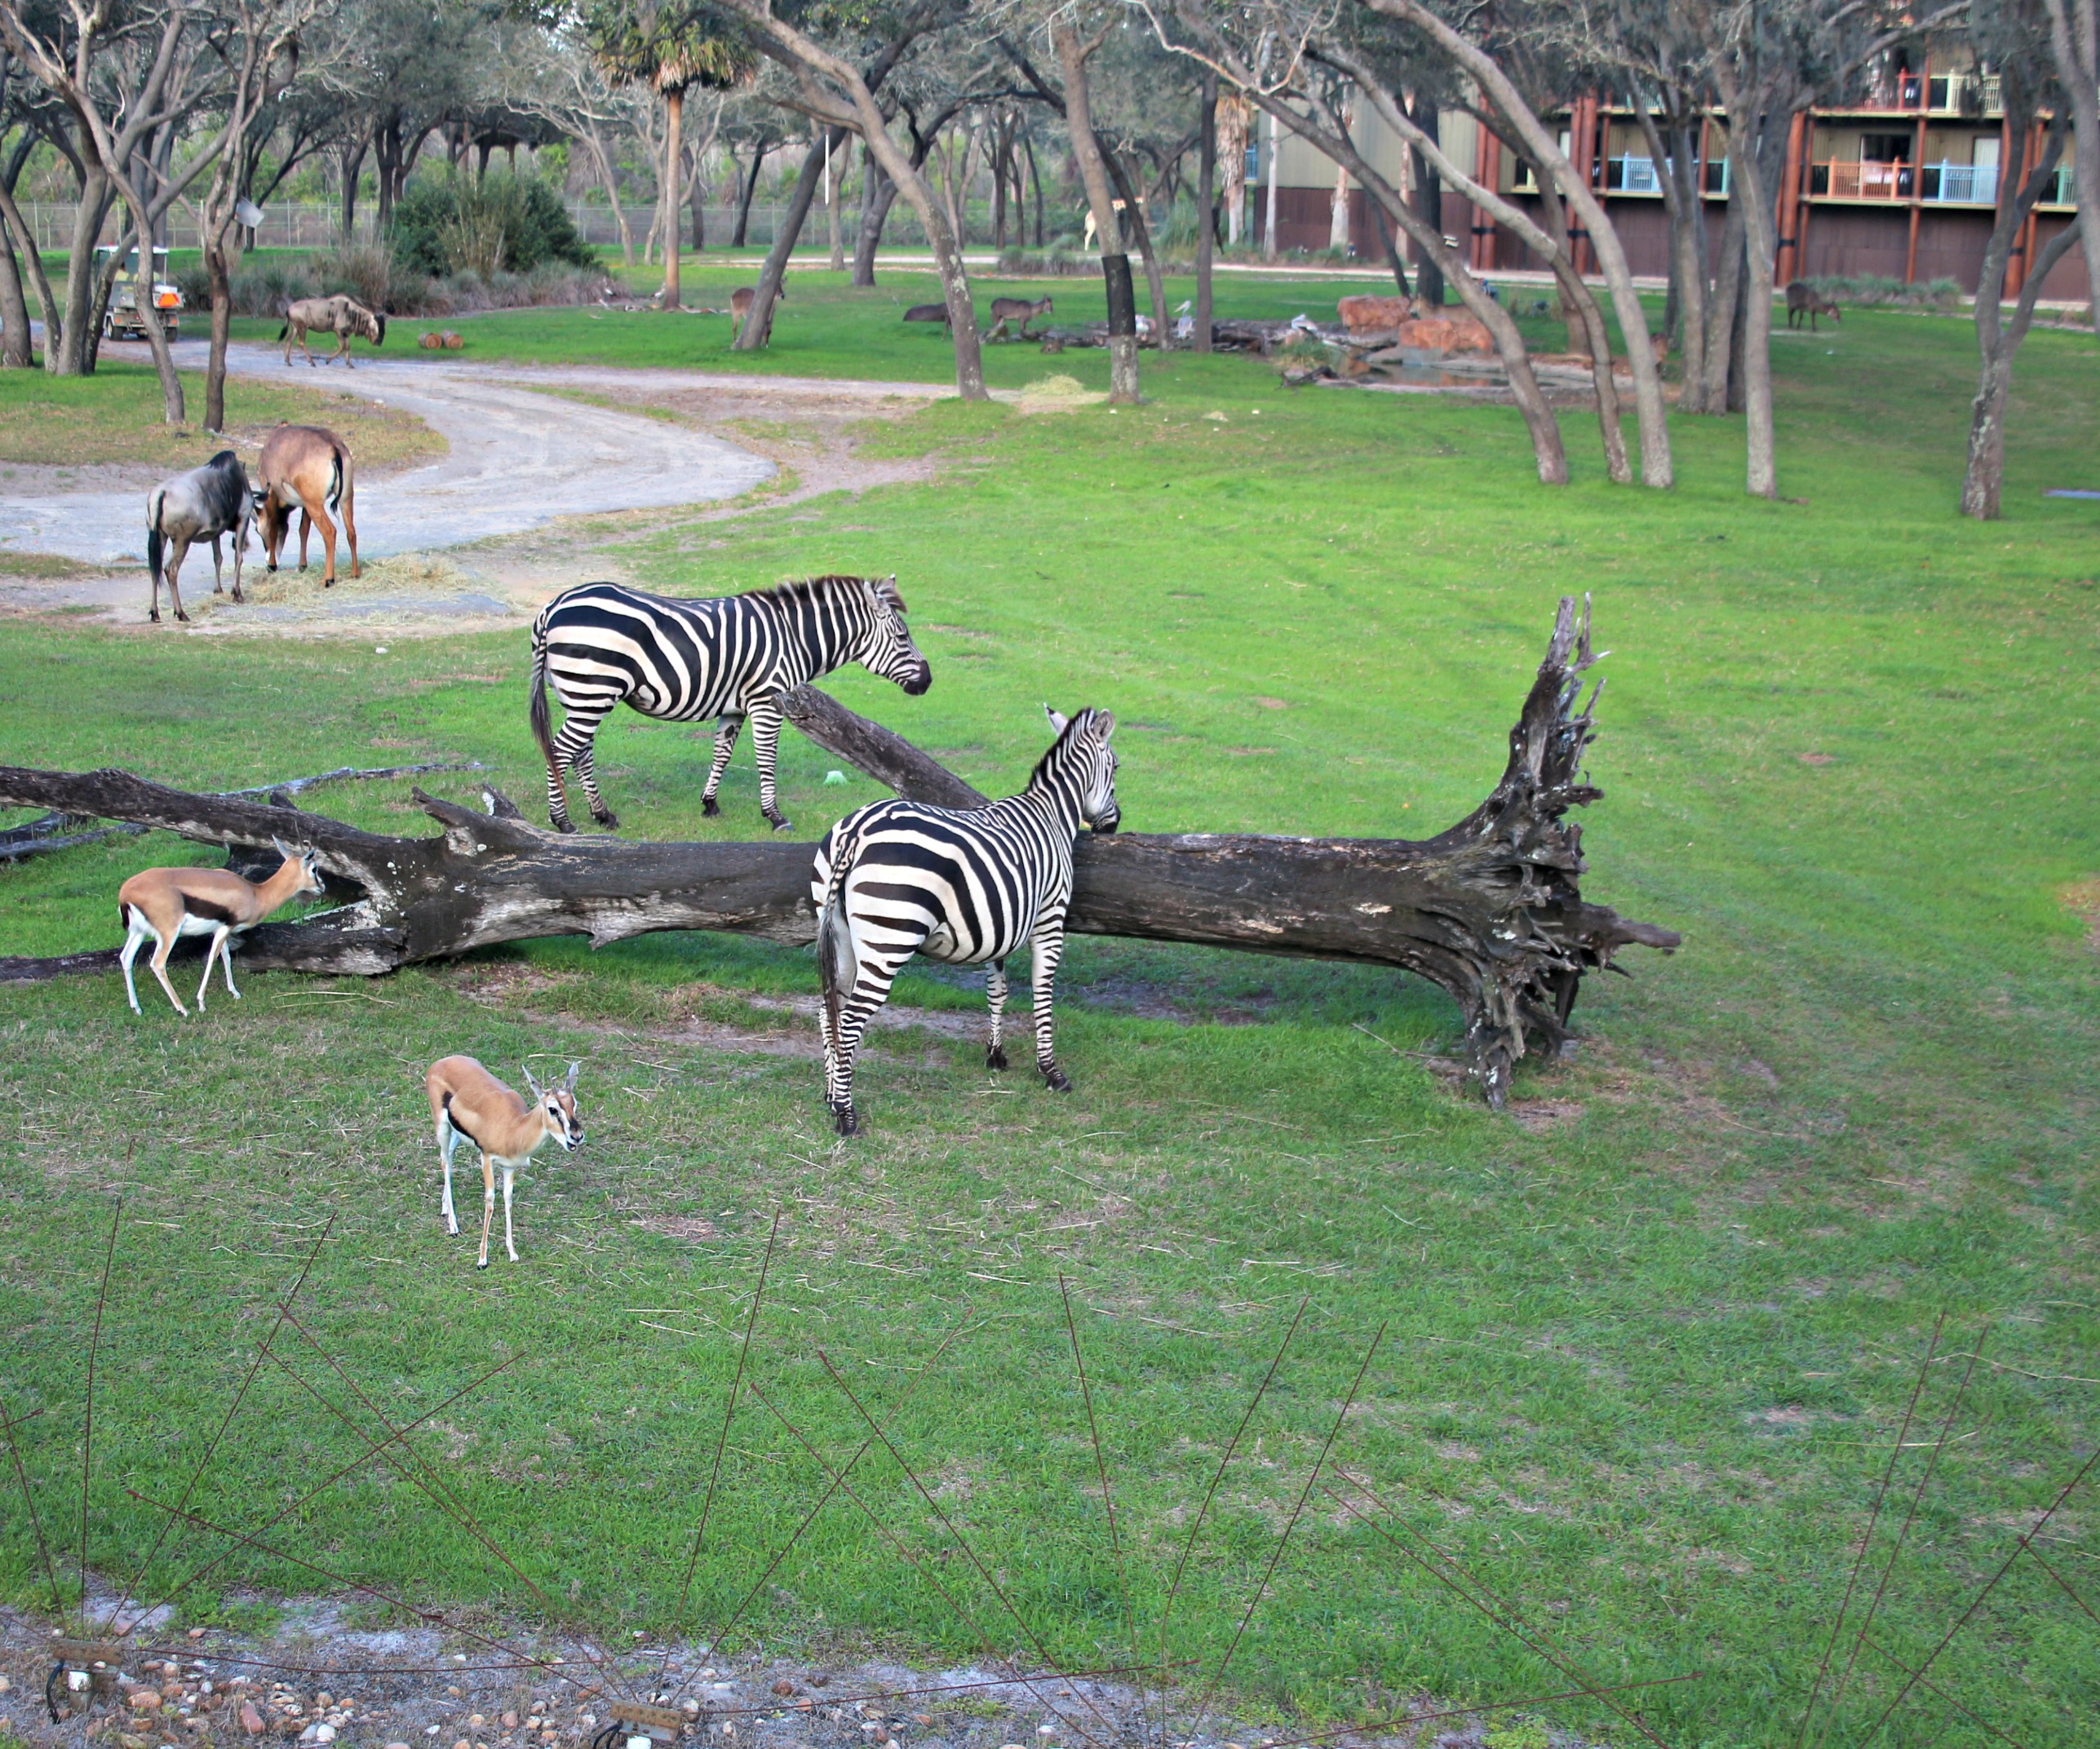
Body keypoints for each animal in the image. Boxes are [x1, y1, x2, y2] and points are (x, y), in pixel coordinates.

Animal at [117, 835, 323, 1016]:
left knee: (125, 957)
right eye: (314, 869)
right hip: (169, 933)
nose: (322, 887)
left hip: (138, 932)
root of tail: (125, 893)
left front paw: (235, 992)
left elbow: (226, 957)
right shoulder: (225, 928)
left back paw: (137, 1008)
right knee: (158, 963)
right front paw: (201, 1002)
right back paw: (182, 1009)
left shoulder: (222, 929)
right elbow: (212, 957)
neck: (255, 894)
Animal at [256, 423, 363, 587]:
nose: (267, 562)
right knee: (351, 531)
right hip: (344, 498)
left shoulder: (270, 494)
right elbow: (303, 529)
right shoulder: (305, 505)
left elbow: (273, 528)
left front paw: (272, 565)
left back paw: (328, 579)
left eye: (257, 531)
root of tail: (334, 448)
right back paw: (354, 573)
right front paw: (302, 565)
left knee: (330, 532)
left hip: (315, 505)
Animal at [423, 1049, 583, 1268]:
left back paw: (445, 1208)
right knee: (445, 1161)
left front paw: (512, 1253)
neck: (513, 1129)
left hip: (456, 1133)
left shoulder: (510, 1167)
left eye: (574, 1105)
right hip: (442, 1126)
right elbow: (490, 1199)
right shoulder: (486, 1158)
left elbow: (508, 1198)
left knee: (448, 1155)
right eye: (553, 1109)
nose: (577, 1136)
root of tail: (441, 1062)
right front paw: (482, 1259)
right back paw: (454, 1227)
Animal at [529, 575, 932, 835]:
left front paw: (709, 804)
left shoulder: (735, 706)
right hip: (593, 691)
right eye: (902, 636)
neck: (792, 637)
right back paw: (562, 821)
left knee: (581, 752)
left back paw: (603, 815)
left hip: (582, 695)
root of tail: (554, 606)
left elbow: (722, 753)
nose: (928, 681)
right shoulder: (768, 700)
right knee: (560, 750)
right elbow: (766, 759)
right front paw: (775, 816)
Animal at [810, 701, 1125, 1142]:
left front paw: (995, 1054)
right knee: (852, 1019)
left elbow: (998, 991)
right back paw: (845, 1114)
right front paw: (1051, 1071)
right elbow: (1042, 993)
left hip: (839, 932)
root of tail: (858, 829)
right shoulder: (1049, 918)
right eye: (1116, 768)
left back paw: (828, 1093)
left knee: (830, 1011)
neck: (1052, 815)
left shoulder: (999, 926)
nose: (1114, 824)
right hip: (888, 940)